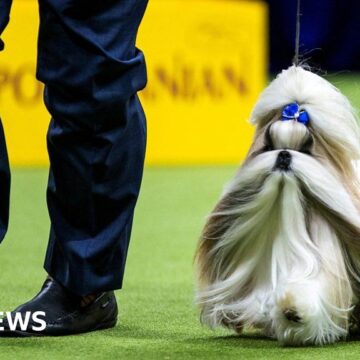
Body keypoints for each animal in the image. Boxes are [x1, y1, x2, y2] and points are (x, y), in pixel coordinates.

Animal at [195, 65, 360, 346]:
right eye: (269, 146)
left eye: (306, 148)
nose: (283, 154)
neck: (287, 222)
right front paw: (287, 313)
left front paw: (294, 308)